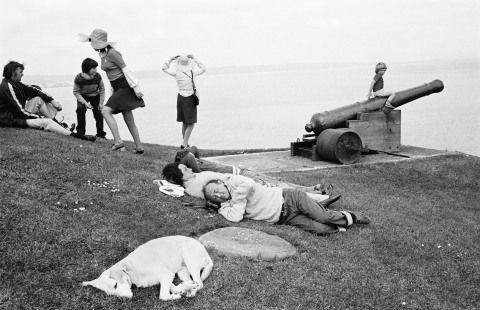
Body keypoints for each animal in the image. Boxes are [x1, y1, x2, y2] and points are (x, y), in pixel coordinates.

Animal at [81, 236, 213, 300]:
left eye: (115, 285)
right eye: (112, 294)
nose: (128, 297)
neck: (131, 270)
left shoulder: (167, 275)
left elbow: (163, 296)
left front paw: (176, 295)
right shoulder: (166, 277)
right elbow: (174, 287)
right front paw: (182, 289)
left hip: (190, 261)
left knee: (200, 283)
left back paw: (192, 291)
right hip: (182, 271)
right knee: (193, 281)